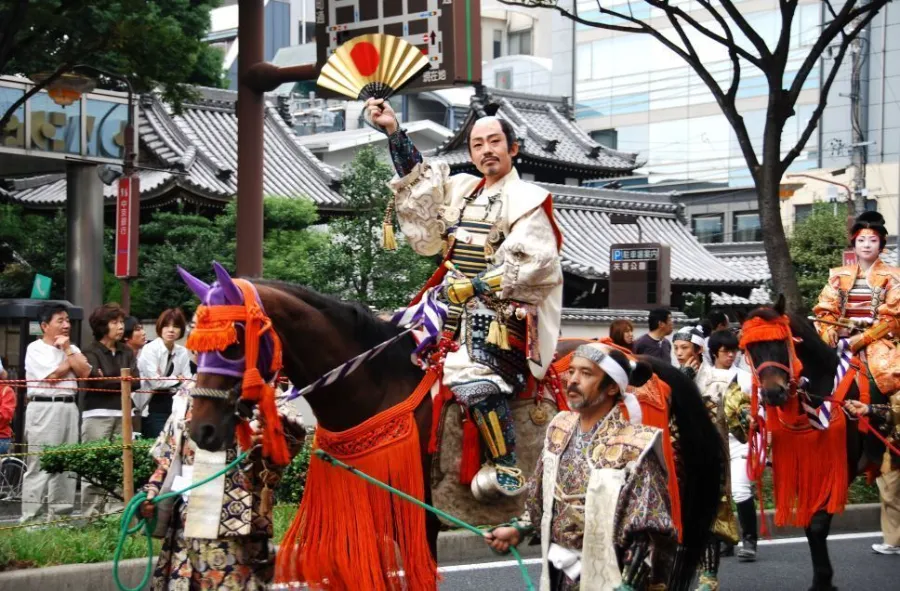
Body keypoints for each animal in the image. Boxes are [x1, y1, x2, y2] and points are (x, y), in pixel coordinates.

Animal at [179, 266, 720, 588]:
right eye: (193, 343)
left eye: (233, 342)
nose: (200, 431)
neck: (377, 385)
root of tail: (649, 363)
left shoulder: (418, 512)